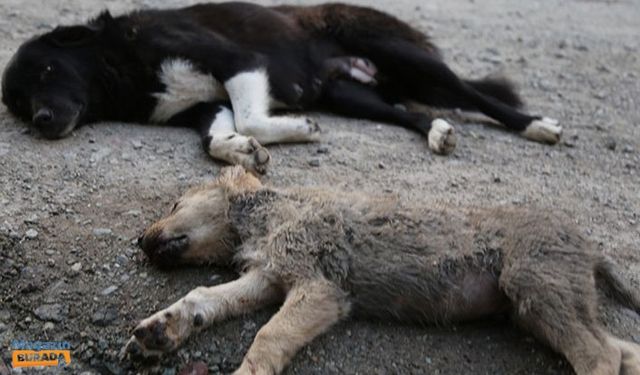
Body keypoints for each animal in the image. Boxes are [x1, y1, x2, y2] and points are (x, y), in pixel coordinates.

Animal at [0, 1, 560, 174]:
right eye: (21, 105)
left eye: (47, 72)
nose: (43, 122)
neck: (123, 66)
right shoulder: (201, 106)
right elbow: (214, 139)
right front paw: (242, 151)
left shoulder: (238, 62)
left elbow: (251, 114)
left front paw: (296, 129)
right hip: (351, 96)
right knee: (409, 111)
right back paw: (438, 132)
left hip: (404, 54)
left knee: (476, 95)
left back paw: (537, 126)